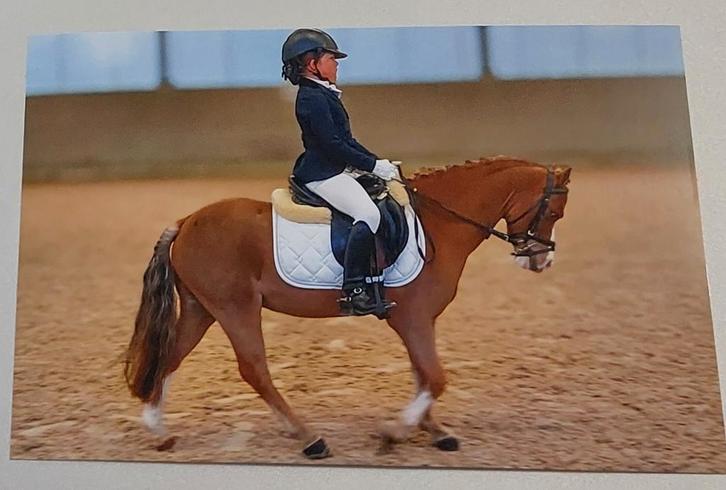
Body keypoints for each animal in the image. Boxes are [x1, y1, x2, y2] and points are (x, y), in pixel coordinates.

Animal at [124, 156, 571, 459]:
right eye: (552, 210)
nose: (542, 261)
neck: (438, 225)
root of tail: (185, 221)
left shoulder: (414, 320)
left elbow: (423, 373)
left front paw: (433, 430)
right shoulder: (413, 317)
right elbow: (434, 376)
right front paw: (396, 431)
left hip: (202, 309)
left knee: (170, 357)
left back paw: (158, 431)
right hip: (235, 308)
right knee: (253, 369)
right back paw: (309, 438)